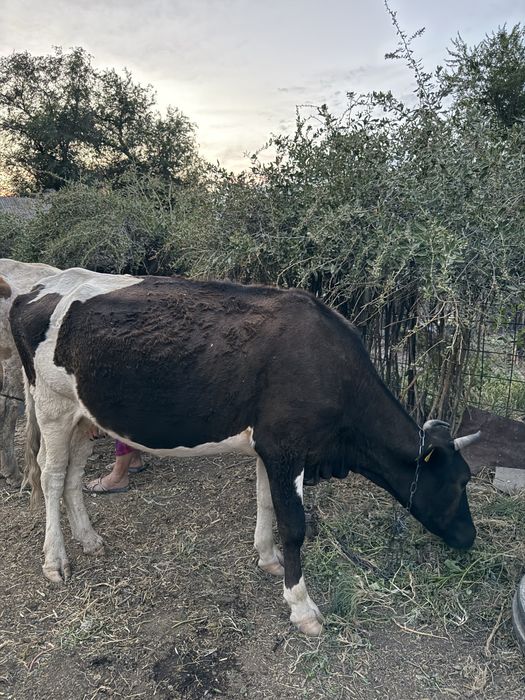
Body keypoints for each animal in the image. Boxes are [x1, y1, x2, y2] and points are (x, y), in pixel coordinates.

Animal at [10, 268, 480, 636]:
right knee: (52, 476)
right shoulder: (286, 447)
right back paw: (55, 561)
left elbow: (265, 502)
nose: (470, 537)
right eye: (460, 482)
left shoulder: (269, 447)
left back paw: (89, 540)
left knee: (73, 476)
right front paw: (302, 607)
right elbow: (293, 524)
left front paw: (268, 558)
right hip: (52, 406)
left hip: (83, 415)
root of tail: (40, 288)